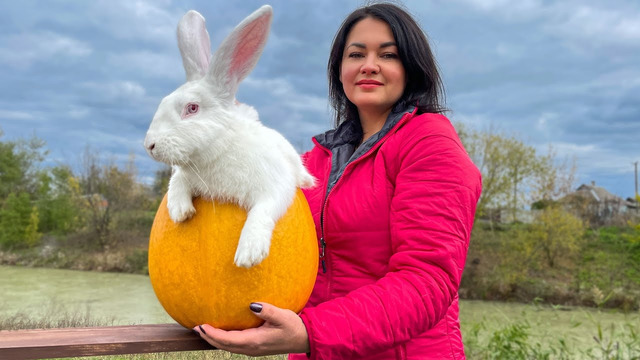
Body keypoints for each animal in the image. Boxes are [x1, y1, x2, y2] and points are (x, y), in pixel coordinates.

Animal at [144, 5, 316, 268]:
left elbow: (264, 209)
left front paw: (249, 253)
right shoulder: (184, 173)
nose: (149, 145)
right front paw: (180, 211)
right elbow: (176, 182)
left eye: (192, 108)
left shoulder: (276, 184)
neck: (220, 149)